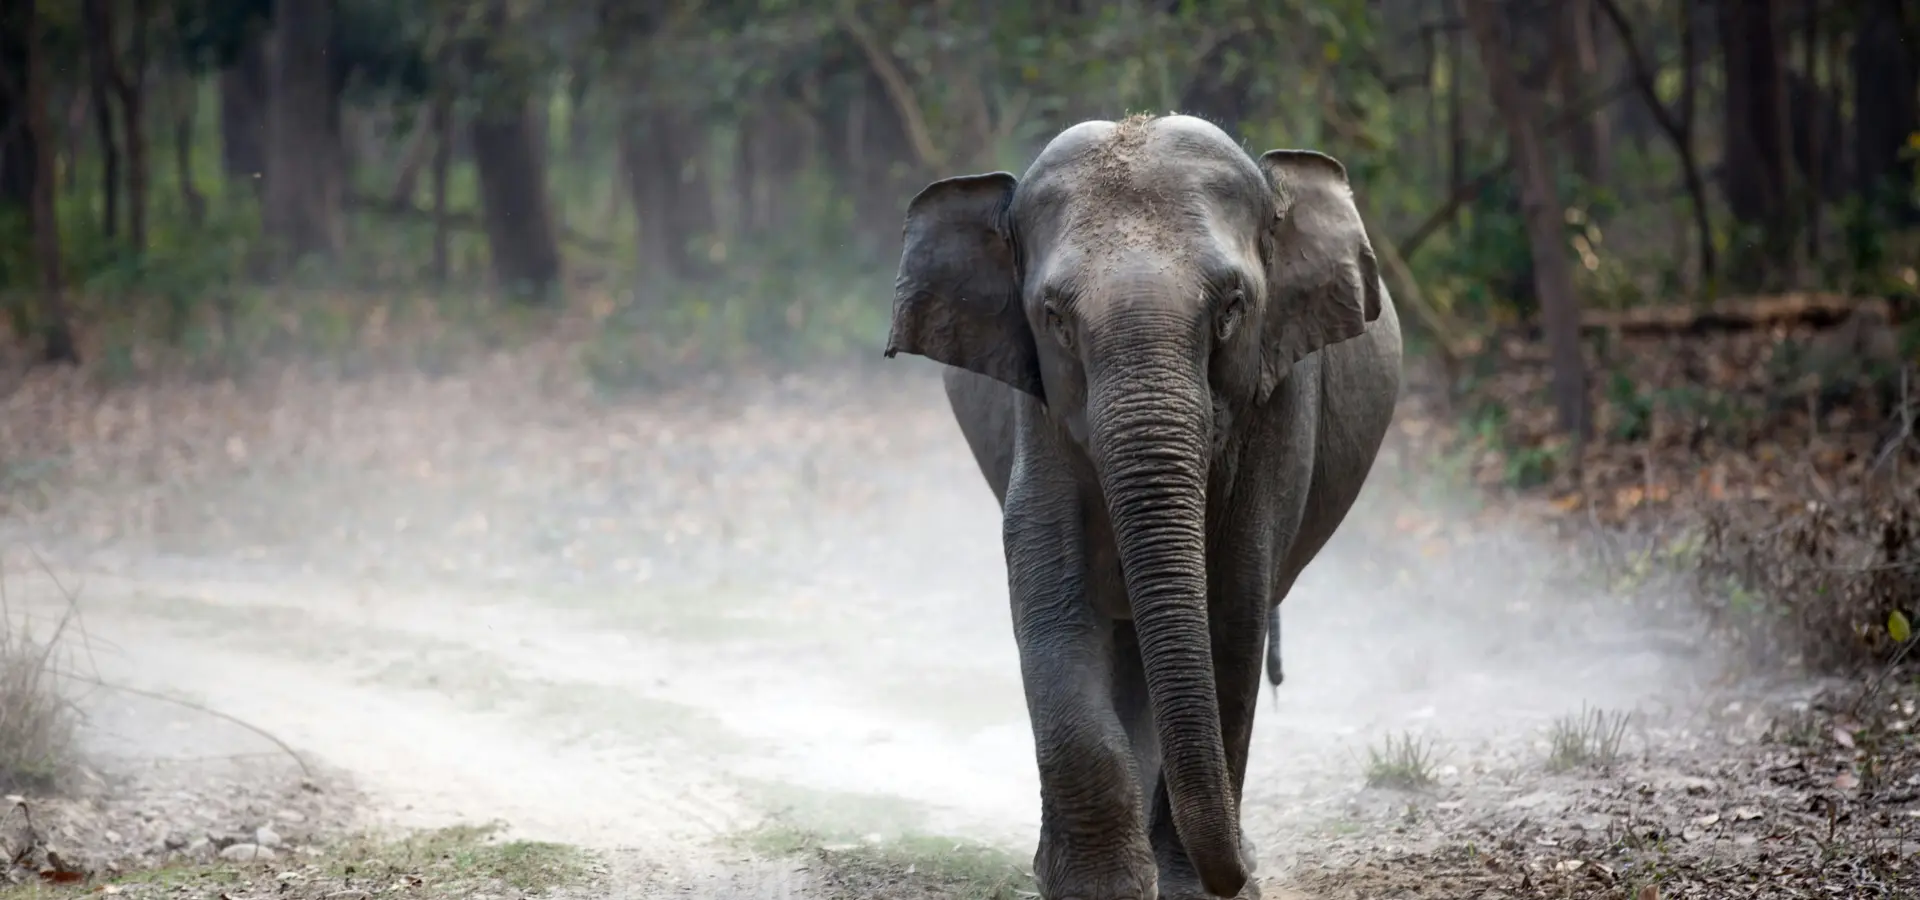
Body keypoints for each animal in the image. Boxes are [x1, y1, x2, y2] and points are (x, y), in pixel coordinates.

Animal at [884, 114, 1403, 899]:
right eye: (1054, 318)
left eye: (1232, 309)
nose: (1243, 873)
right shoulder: (1040, 409)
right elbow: (1050, 592)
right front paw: (1100, 890)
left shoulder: (1279, 402)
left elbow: (1233, 610)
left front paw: (1190, 888)